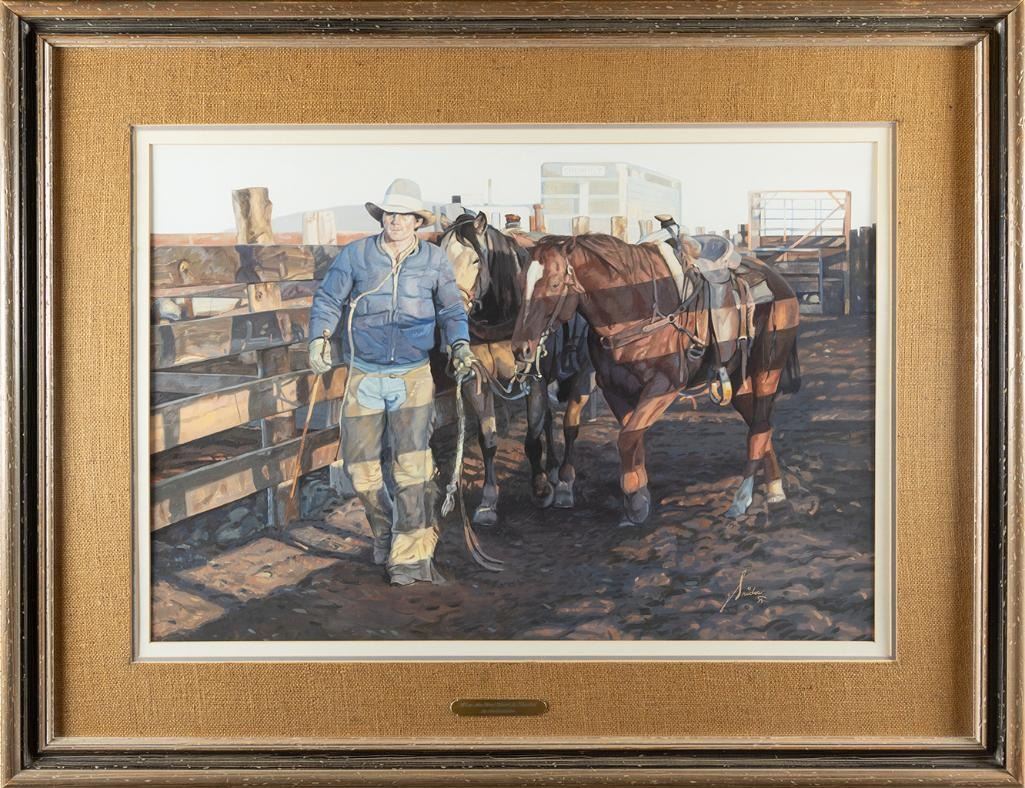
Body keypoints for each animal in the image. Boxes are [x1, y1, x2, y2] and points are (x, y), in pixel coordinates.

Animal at [437, 211, 593, 525]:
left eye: (475, 260)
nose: (450, 310)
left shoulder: (533, 379)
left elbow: (532, 440)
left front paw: (541, 488)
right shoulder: (477, 381)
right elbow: (488, 440)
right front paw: (488, 501)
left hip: (580, 375)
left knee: (569, 426)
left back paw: (564, 483)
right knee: (548, 420)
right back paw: (554, 468)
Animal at [511, 233, 800, 526]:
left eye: (555, 283)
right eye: (521, 282)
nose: (521, 348)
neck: (632, 310)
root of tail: (779, 282)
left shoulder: (663, 387)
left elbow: (627, 439)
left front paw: (635, 500)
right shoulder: (614, 389)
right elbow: (632, 438)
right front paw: (639, 494)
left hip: (767, 372)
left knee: (759, 429)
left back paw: (741, 499)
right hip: (738, 382)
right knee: (761, 426)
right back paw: (775, 488)